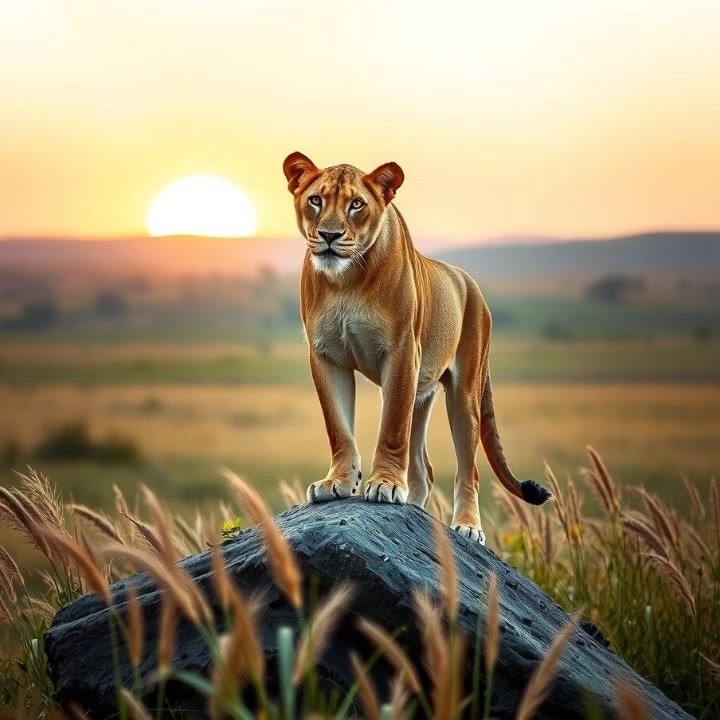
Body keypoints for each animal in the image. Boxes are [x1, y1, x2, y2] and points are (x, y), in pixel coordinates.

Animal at [283, 151, 551, 544]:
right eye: (315, 200)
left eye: (356, 204)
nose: (329, 236)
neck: (347, 279)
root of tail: (471, 283)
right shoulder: (326, 356)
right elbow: (338, 426)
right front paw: (337, 483)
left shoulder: (401, 351)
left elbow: (392, 425)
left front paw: (385, 485)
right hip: (422, 393)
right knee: (425, 470)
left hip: (465, 393)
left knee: (469, 469)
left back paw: (468, 527)